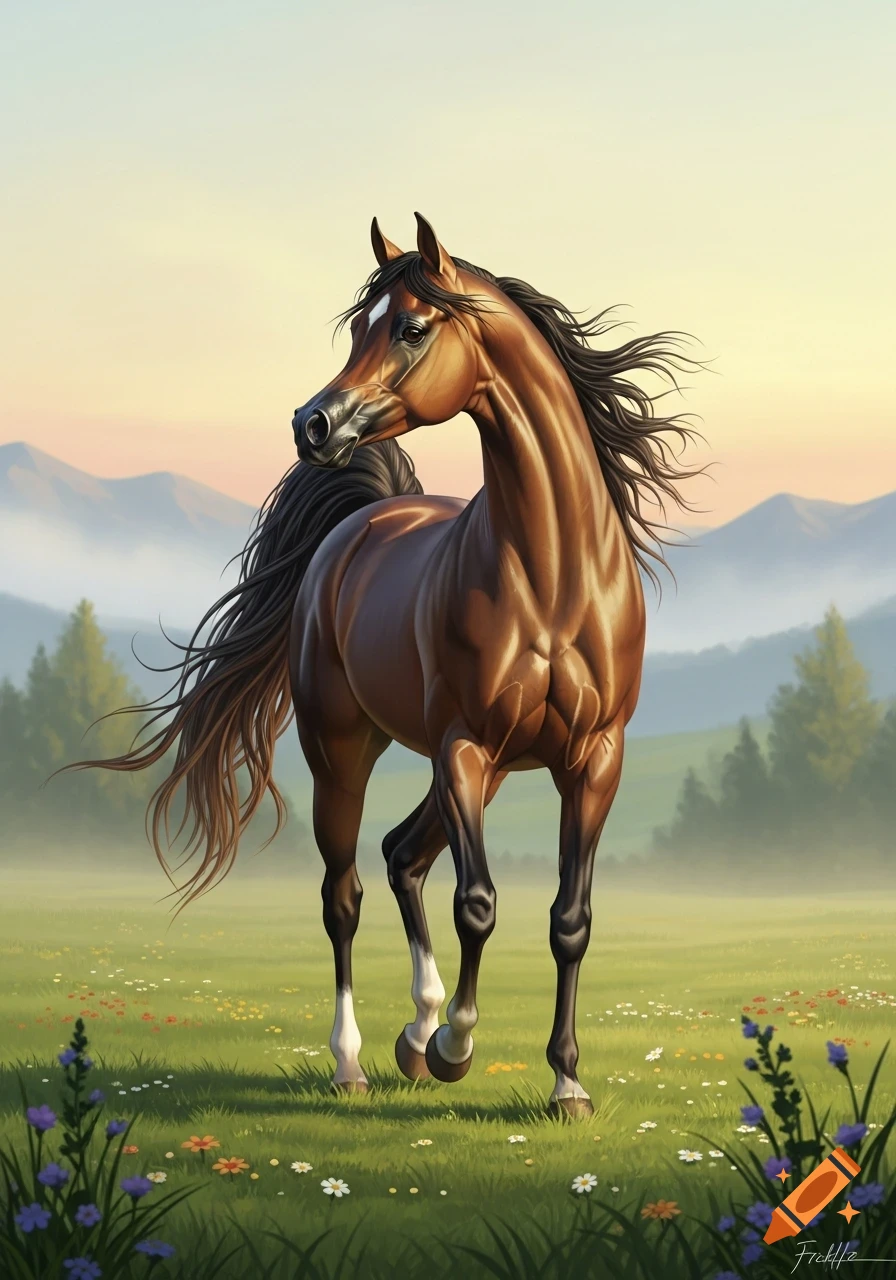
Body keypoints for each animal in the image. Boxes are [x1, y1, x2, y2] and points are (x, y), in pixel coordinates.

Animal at [76, 213, 701, 1117]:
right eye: (356, 329)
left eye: (410, 327)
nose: (312, 424)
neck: (553, 576)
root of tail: (366, 517)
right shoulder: (464, 747)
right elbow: (477, 904)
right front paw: (455, 1048)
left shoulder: (594, 760)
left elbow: (570, 919)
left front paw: (565, 1083)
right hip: (348, 754)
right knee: (346, 895)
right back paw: (357, 1063)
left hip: (489, 768)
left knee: (404, 853)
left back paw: (413, 1032)